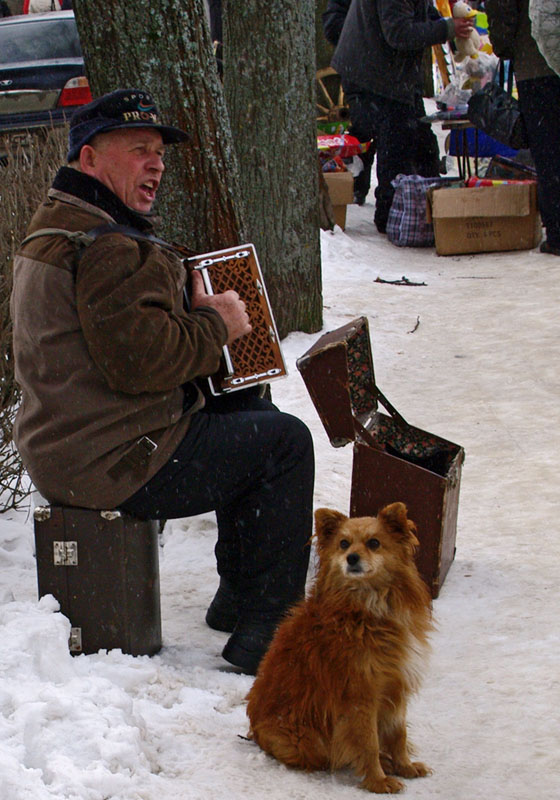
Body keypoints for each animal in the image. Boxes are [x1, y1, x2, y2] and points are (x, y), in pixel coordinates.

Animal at [245, 504, 434, 792]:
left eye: (374, 543)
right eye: (343, 544)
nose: (352, 558)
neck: (368, 609)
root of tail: (254, 731)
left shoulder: (395, 685)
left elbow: (398, 734)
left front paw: (405, 766)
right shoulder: (359, 695)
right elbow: (368, 742)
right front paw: (378, 781)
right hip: (304, 740)